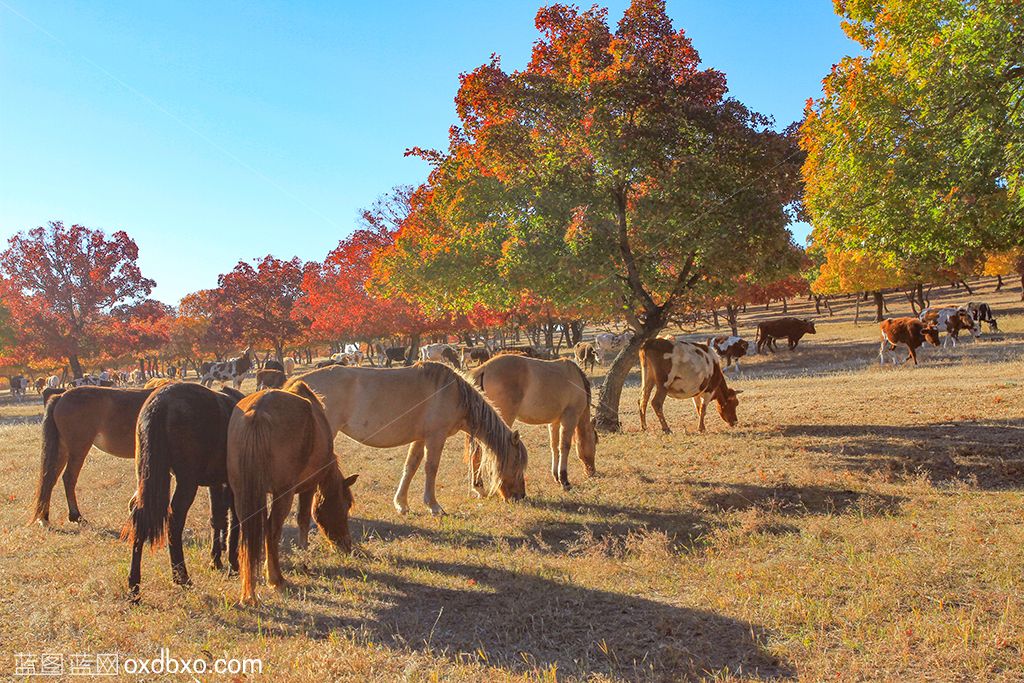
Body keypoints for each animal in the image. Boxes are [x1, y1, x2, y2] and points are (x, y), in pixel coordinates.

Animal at [31, 387, 153, 528]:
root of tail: (60, 396)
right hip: (78, 449)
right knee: (68, 478)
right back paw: (76, 516)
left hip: (62, 449)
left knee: (49, 479)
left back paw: (44, 518)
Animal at [121, 385, 243, 598]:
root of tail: (159, 405)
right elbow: (233, 520)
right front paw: (232, 562)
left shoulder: (216, 483)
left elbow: (218, 518)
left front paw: (216, 558)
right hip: (187, 480)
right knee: (175, 519)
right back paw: (181, 576)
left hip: (147, 477)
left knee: (139, 515)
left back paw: (134, 585)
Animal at [226, 382, 358, 606]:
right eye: (346, 505)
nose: (346, 546)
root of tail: (258, 411)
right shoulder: (308, 487)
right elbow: (303, 519)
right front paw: (303, 556)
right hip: (283, 494)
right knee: (272, 529)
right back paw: (276, 579)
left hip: (243, 491)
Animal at [286, 362, 528, 511]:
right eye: (517, 463)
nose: (520, 497)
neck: (454, 393)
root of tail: (297, 383)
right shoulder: (435, 437)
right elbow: (431, 468)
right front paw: (433, 506)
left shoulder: (420, 438)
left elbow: (410, 466)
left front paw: (401, 504)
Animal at [468, 356, 598, 493]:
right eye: (595, 441)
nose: (592, 471)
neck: (576, 378)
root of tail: (484, 368)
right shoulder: (569, 419)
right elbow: (564, 447)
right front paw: (564, 480)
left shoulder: (554, 422)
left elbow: (554, 447)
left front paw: (556, 477)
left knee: (476, 452)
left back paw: (478, 486)